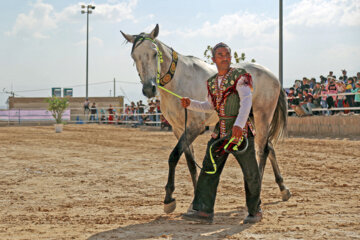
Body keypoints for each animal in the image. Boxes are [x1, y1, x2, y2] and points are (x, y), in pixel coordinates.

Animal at [120, 24, 290, 214]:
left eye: (155, 53)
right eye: (134, 57)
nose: (149, 89)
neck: (178, 81)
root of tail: (273, 76)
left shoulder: (194, 127)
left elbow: (174, 156)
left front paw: (169, 199)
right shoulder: (179, 129)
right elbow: (190, 163)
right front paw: (194, 201)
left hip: (263, 117)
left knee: (263, 150)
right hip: (251, 118)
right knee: (270, 147)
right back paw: (283, 189)